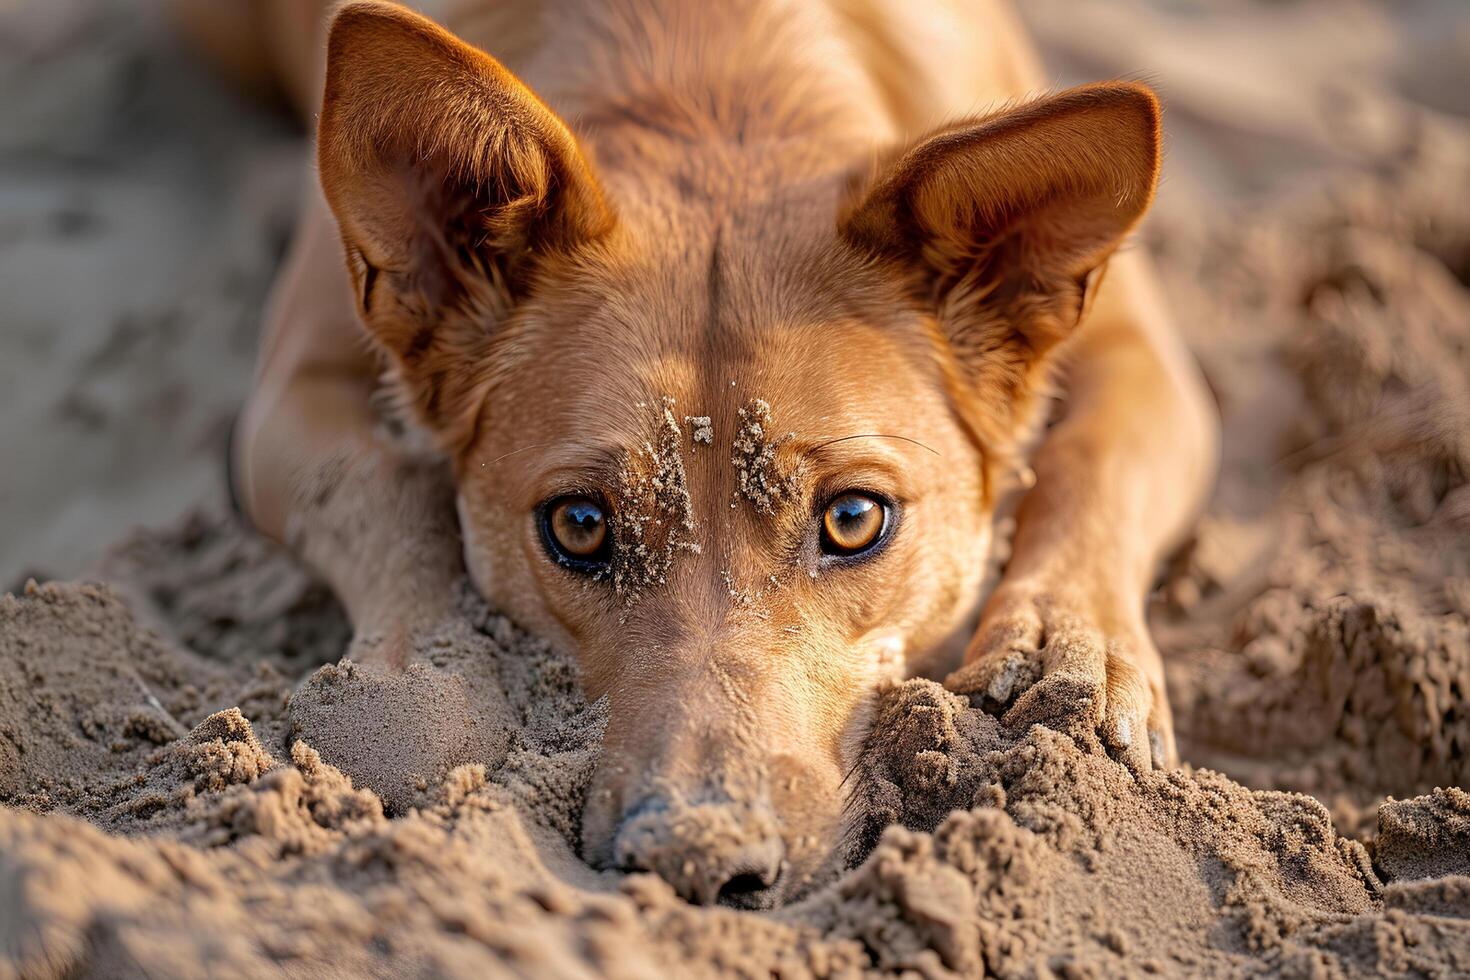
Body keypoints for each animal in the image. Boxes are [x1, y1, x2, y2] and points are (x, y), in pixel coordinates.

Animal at [201, 0, 1223, 910]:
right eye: (580, 525)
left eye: (854, 519)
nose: (696, 858)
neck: (714, 80)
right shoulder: (291, 389)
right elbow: (382, 486)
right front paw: (408, 690)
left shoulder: (1148, 363)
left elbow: (1090, 464)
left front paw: (1067, 649)